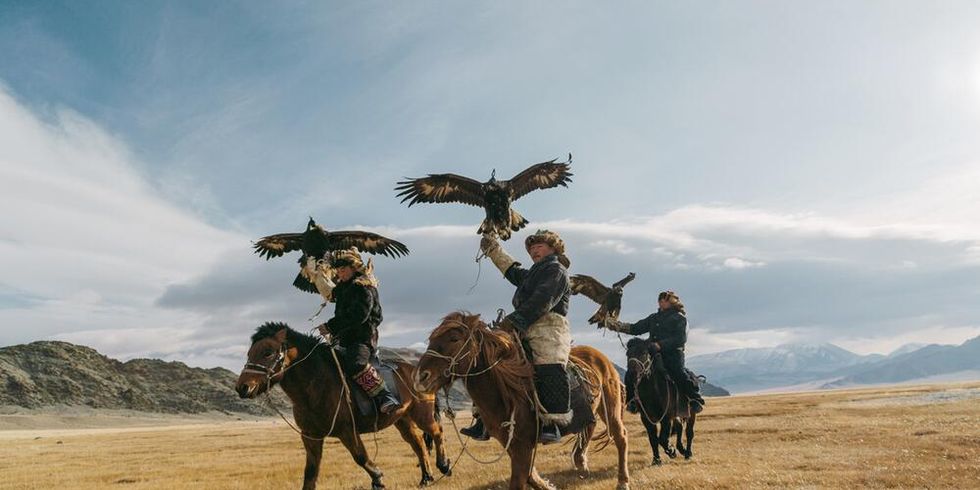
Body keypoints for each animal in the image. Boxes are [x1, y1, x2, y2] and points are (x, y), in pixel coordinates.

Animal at [237, 324, 452, 488]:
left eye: (267, 352)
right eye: (249, 353)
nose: (242, 387)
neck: (316, 385)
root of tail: (419, 370)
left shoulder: (347, 430)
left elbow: (360, 457)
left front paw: (378, 479)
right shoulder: (311, 436)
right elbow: (310, 472)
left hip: (422, 414)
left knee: (437, 432)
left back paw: (444, 465)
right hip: (403, 419)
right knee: (418, 443)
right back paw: (426, 478)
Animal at [412, 314, 628, 490]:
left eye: (454, 339)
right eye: (431, 340)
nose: (421, 377)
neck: (506, 391)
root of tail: (601, 357)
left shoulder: (523, 445)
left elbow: (520, 480)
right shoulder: (513, 445)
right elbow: (530, 476)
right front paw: (548, 485)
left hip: (610, 407)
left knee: (620, 436)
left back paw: (622, 481)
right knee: (588, 427)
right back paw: (581, 463)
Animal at [628, 336, 696, 468]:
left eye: (644, 353)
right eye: (628, 354)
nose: (632, 375)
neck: (652, 391)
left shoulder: (666, 417)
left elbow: (663, 439)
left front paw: (671, 450)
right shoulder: (646, 418)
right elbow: (653, 439)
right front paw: (656, 460)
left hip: (691, 413)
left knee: (689, 432)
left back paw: (688, 453)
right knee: (679, 427)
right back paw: (681, 449)